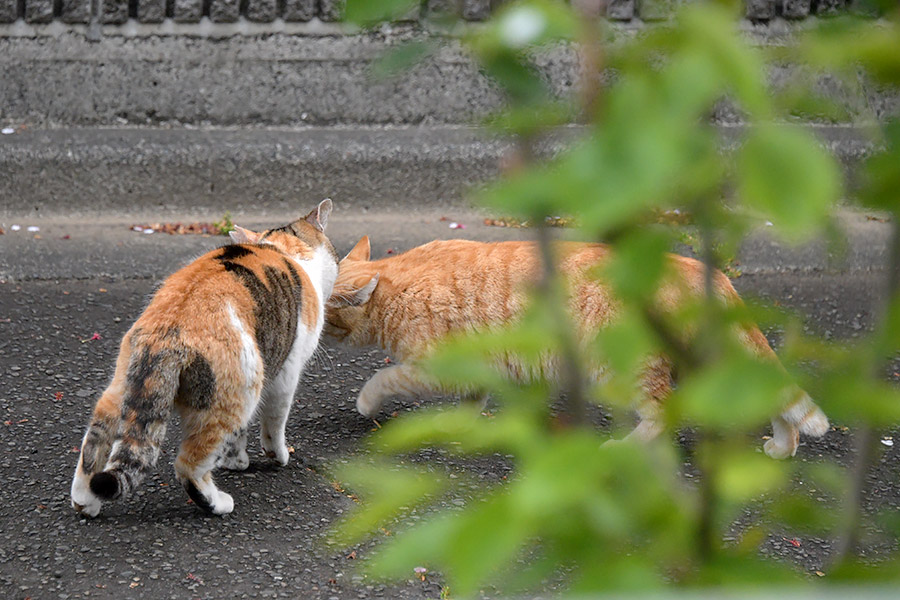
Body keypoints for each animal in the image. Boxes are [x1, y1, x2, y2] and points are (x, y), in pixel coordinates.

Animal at [70, 198, 338, 516]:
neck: (281, 250)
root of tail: (167, 332)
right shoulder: (285, 374)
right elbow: (274, 423)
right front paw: (277, 456)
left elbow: (238, 437)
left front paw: (236, 462)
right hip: (235, 397)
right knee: (188, 465)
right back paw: (218, 503)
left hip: (121, 390)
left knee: (94, 444)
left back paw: (85, 503)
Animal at [324, 237, 828, 458]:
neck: (396, 281)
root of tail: (701, 270)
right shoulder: (478, 369)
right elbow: (472, 401)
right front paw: (458, 425)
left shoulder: (435, 366)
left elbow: (384, 377)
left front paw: (365, 403)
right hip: (708, 360)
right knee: (770, 397)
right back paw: (783, 446)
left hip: (619, 371)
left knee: (663, 412)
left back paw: (623, 449)